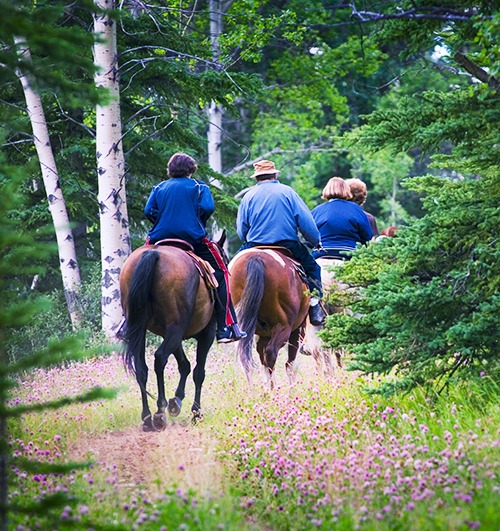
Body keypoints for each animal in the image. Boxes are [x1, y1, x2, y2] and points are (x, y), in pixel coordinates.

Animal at [120, 237, 226, 432]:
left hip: (143, 329)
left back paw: (147, 417)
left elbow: (184, 365)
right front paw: (196, 413)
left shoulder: (170, 333)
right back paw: (160, 412)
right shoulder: (205, 334)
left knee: (141, 368)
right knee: (160, 358)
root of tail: (152, 253)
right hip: (176, 329)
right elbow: (198, 372)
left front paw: (176, 401)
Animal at [229, 249, 310, 390]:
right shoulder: (299, 328)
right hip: (284, 327)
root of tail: (256, 258)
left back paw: (253, 391)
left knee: (246, 360)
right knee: (271, 353)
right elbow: (291, 365)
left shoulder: (263, 336)